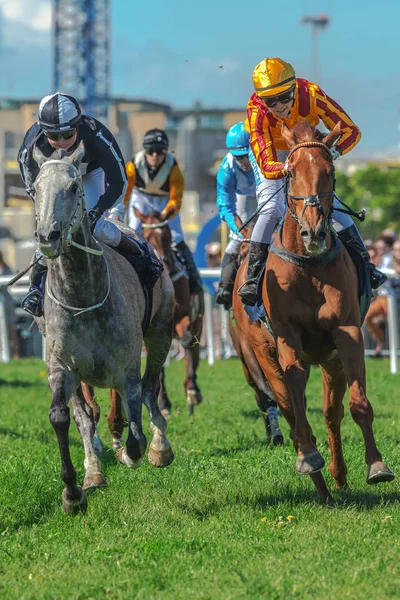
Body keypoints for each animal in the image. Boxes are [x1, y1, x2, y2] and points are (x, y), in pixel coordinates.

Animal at [31, 143, 175, 512]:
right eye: (35, 188)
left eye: (72, 187)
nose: (48, 237)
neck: (83, 297)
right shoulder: (62, 366)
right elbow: (62, 416)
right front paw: (73, 491)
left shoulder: (126, 368)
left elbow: (135, 426)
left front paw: (135, 452)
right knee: (84, 414)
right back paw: (94, 471)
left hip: (161, 332)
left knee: (151, 388)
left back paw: (160, 447)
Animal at [234, 119, 394, 500]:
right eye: (290, 172)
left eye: (331, 171)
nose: (315, 232)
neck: (307, 265)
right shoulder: (287, 337)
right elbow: (294, 397)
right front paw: (308, 457)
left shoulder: (347, 332)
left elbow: (357, 404)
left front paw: (376, 465)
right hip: (261, 352)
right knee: (290, 411)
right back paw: (315, 474)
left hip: (329, 359)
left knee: (330, 414)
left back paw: (336, 479)